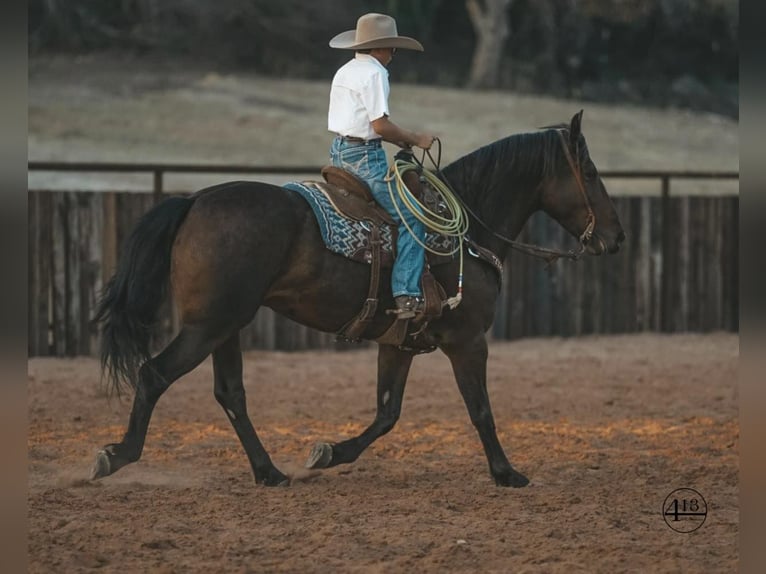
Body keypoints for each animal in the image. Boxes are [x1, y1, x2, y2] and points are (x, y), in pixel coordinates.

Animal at [93, 112, 628, 490]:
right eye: (590, 172)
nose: (617, 237)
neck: (467, 231)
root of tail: (194, 201)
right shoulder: (468, 340)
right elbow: (479, 408)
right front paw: (506, 473)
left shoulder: (399, 342)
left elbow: (387, 414)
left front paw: (329, 453)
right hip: (208, 326)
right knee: (154, 374)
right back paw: (116, 456)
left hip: (225, 326)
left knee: (230, 394)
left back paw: (269, 472)